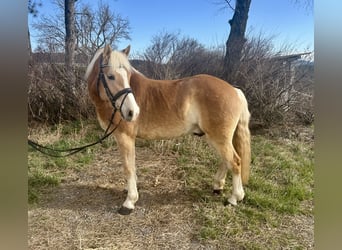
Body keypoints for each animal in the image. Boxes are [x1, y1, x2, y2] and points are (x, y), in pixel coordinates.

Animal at [85, 44, 251, 214]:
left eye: (128, 75)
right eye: (110, 76)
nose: (133, 112)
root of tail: (235, 90)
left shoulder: (125, 137)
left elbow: (128, 168)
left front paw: (130, 201)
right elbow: (131, 166)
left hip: (218, 138)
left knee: (235, 162)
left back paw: (234, 198)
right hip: (214, 137)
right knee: (226, 160)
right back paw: (218, 186)